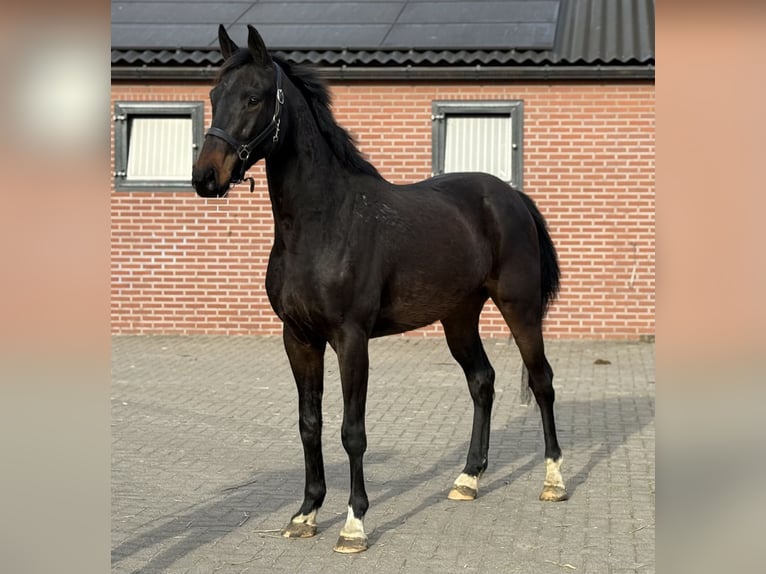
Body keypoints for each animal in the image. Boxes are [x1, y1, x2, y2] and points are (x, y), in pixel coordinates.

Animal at [192, 24, 568, 554]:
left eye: (252, 97)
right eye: (213, 96)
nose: (205, 177)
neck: (323, 223)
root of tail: (510, 195)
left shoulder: (351, 339)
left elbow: (353, 430)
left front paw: (354, 524)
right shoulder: (299, 339)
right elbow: (309, 424)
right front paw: (306, 513)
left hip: (521, 307)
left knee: (542, 382)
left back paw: (554, 480)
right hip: (458, 317)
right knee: (482, 382)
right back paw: (468, 479)